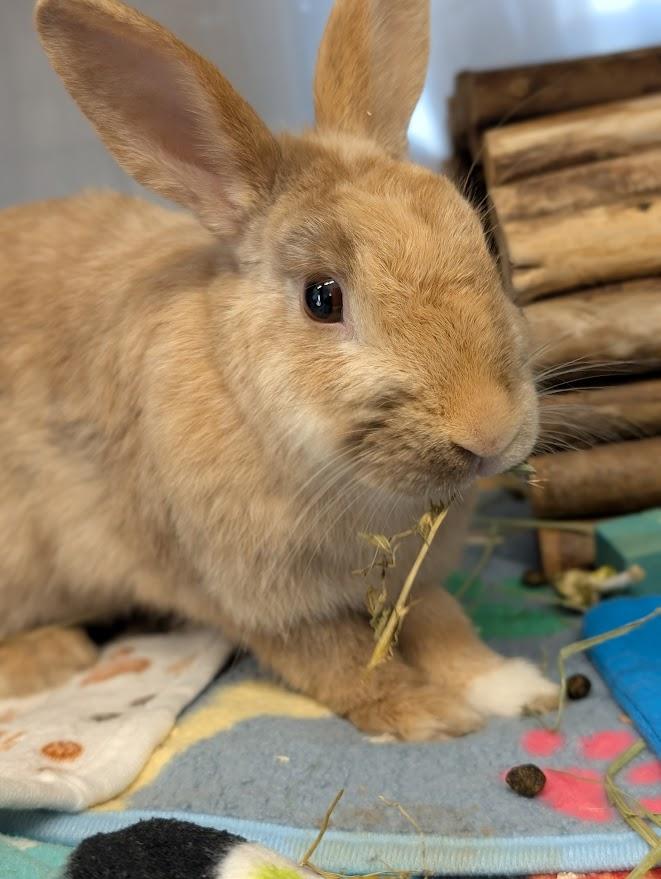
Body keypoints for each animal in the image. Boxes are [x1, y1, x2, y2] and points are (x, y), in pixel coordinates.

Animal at [0, 0, 558, 739]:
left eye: (478, 240)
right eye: (322, 298)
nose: (489, 431)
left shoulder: (415, 578)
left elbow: (444, 625)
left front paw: (512, 686)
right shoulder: (262, 604)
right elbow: (342, 662)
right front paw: (429, 715)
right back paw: (50, 657)